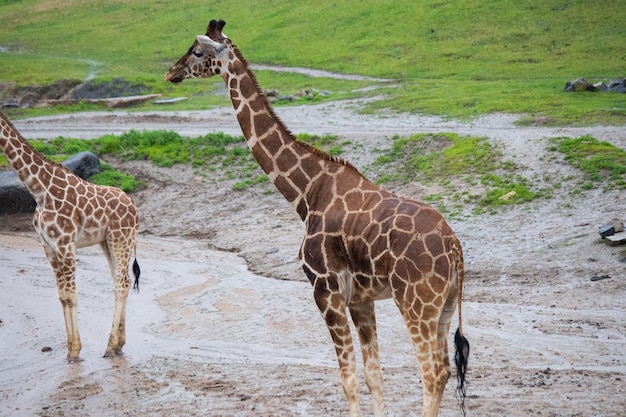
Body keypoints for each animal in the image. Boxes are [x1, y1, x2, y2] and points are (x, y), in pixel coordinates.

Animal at [0, 110, 139, 360]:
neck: (39, 190)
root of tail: (134, 207)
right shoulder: (48, 246)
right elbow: (63, 296)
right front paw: (69, 348)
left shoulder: (65, 242)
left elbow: (72, 295)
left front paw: (75, 351)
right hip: (107, 242)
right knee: (120, 280)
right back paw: (119, 344)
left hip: (120, 239)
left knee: (122, 282)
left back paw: (109, 346)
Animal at [163, 20, 466, 416]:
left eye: (197, 52)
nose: (171, 73)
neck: (307, 192)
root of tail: (455, 250)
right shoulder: (360, 298)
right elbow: (373, 375)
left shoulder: (325, 288)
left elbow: (348, 377)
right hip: (444, 305)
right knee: (443, 368)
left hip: (416, 302)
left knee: (432, 371)